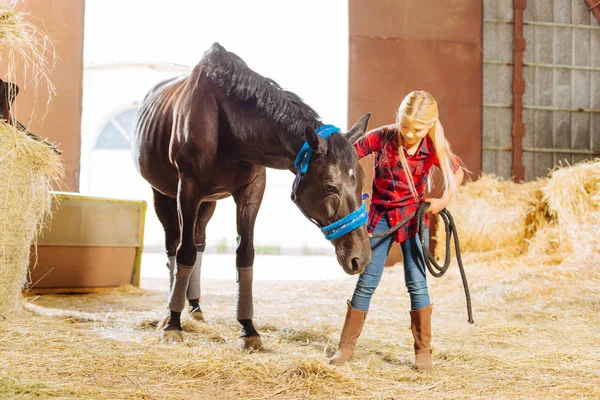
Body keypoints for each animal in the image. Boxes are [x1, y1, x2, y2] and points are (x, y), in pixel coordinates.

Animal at [132, 41, 370, 346]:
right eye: (330, 186)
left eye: (361, 183)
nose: (361, 258)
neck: (225, 121)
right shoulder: (188, 188)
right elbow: (184, 252)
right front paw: (173, 323)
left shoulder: (252, 191)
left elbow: (244, 254)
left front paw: (248, 328)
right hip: (163, 195)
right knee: (174, 246)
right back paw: (172, 311)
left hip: (207, 203)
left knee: (199, 242)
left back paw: (195, 306)